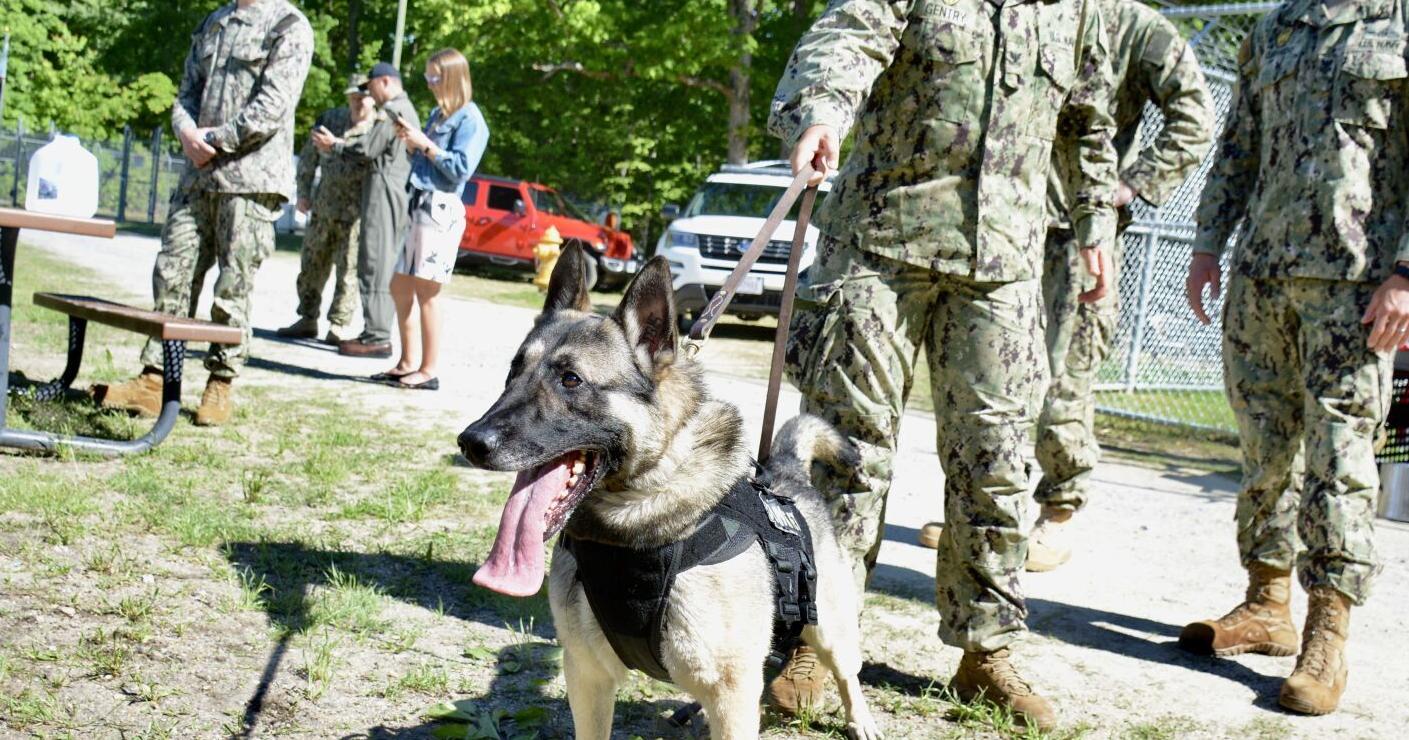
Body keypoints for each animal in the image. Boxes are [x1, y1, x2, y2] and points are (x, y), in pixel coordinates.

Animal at [462, 246, 879, 738]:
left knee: (848, 672)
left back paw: (861, 719)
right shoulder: (587, 676)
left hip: (830, 631)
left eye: (571, 379)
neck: (635, 521)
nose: (471, 442)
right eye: (514, 371)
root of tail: (786, 470)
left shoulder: (732, 694)